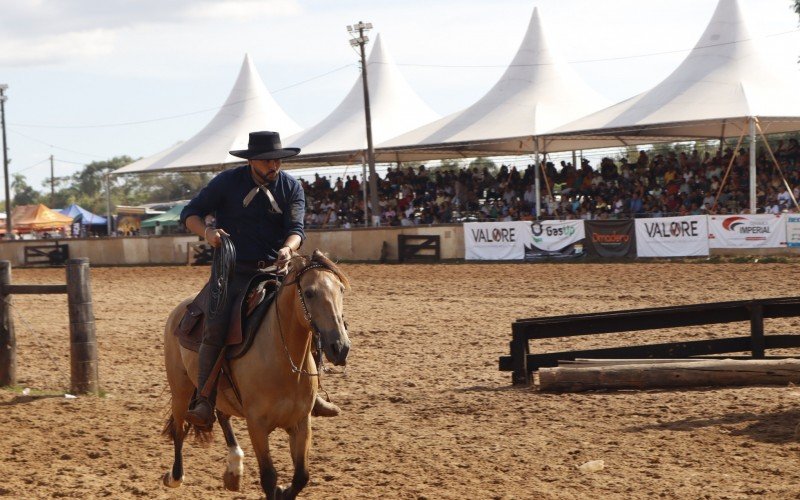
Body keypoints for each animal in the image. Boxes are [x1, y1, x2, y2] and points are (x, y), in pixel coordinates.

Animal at [162, 252, 350, 498]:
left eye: (341, 289)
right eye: (309, 292)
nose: (340, 347)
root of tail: (181, 309)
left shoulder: (301, 423)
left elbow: (301, 476)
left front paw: (284, 491)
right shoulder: (257, 425)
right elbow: (269, 477)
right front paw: (277, 488)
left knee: (222, 415)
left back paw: (234, 469)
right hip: (180, 390)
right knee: (179, 427)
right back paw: (175, 476)